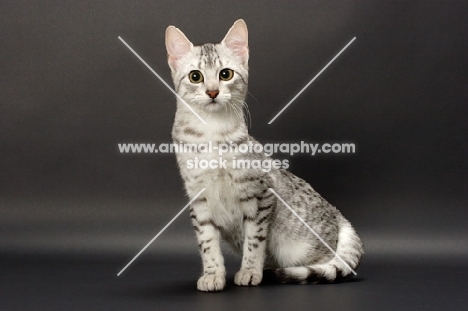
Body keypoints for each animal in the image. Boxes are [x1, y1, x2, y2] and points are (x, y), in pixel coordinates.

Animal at [166, 18, 364, 292]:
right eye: (196, 76)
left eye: (225, 74)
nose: (213, 92)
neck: (211, 133)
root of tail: (338, 214)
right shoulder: (198, 199)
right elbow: (207, 243)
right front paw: (213, 274)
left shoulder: (261, 195)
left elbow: (254, 240)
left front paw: (250, 271)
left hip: (300, 249)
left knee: (330, 263)